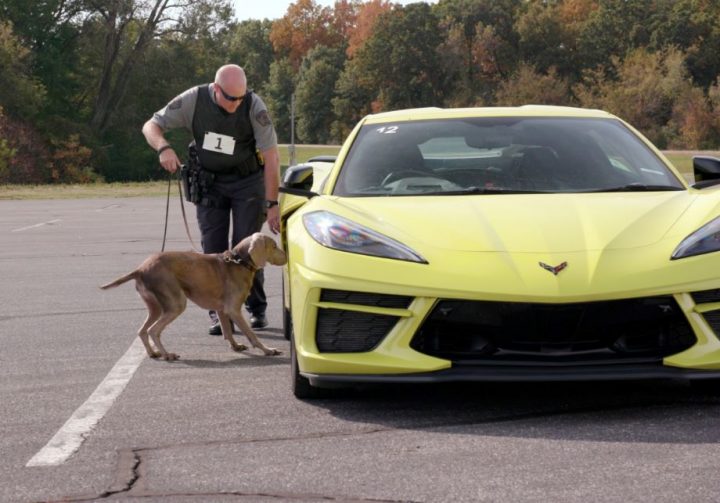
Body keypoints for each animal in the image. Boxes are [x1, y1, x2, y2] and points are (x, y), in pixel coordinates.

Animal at [101, 234, 286, 360]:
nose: (286, 256)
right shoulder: (233, 309)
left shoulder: (222, 309)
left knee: (142, 330)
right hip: (176, 303)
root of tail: (140, 269)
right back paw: (167, 355)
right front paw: (268, 350)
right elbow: (251, 335)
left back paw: (153, 353)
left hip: (155, 307)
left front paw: (235, 346)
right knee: (153, 330)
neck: (238, 262)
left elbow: (227, 331)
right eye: (274, 246)